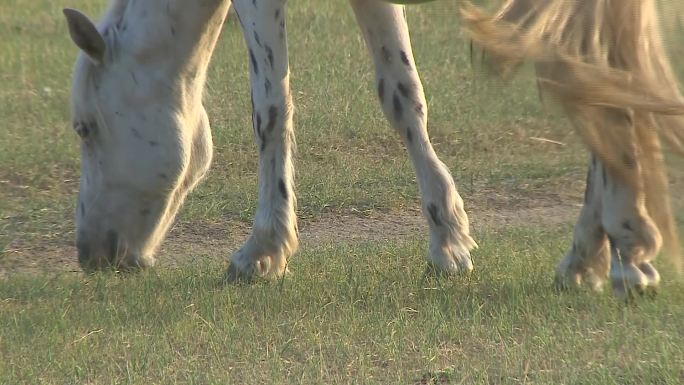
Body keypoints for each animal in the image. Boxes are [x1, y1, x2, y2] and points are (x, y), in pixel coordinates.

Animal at [62, 0, 680, 296]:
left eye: (84, 128)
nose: (90, 255)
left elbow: (270, 106)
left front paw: (265, 248)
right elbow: (401, 93)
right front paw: (448, 238)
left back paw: (625, 249)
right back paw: (586, 256)